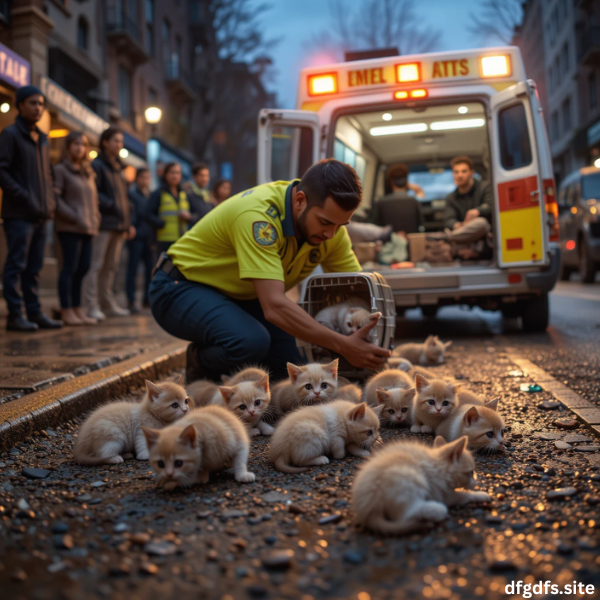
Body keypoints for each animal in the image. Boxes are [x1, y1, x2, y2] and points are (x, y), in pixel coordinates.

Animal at [354, 434, 490, 536]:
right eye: (470, 473)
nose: (475, 482)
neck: (437, 465)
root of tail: (368, 511)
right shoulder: (442, 493)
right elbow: (463, 495)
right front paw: (481, 495)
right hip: (411, 476)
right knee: (405, 514)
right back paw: (436, 510)